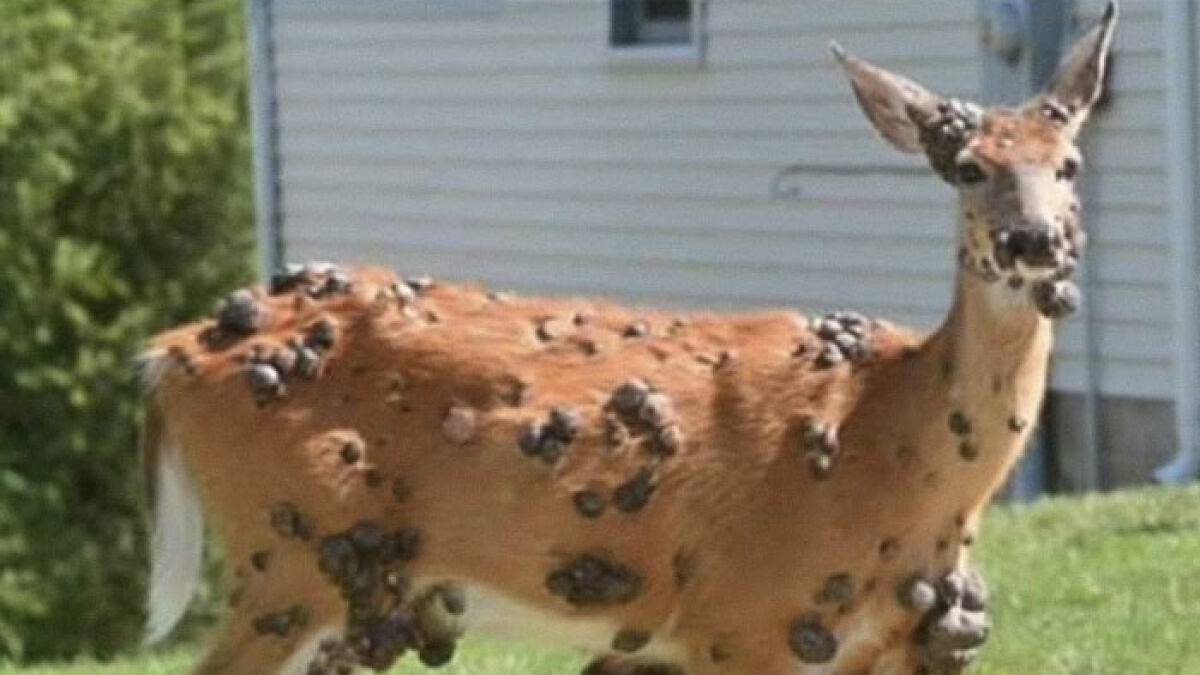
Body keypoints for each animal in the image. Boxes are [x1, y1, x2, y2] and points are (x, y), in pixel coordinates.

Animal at [139, 5, 1116, 674]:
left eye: (1068, 163)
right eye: (969, 167)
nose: (1034, 241)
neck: (896, 449)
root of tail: (169, 353)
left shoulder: (891, 643)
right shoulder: (742, 620)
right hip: (282, 556)